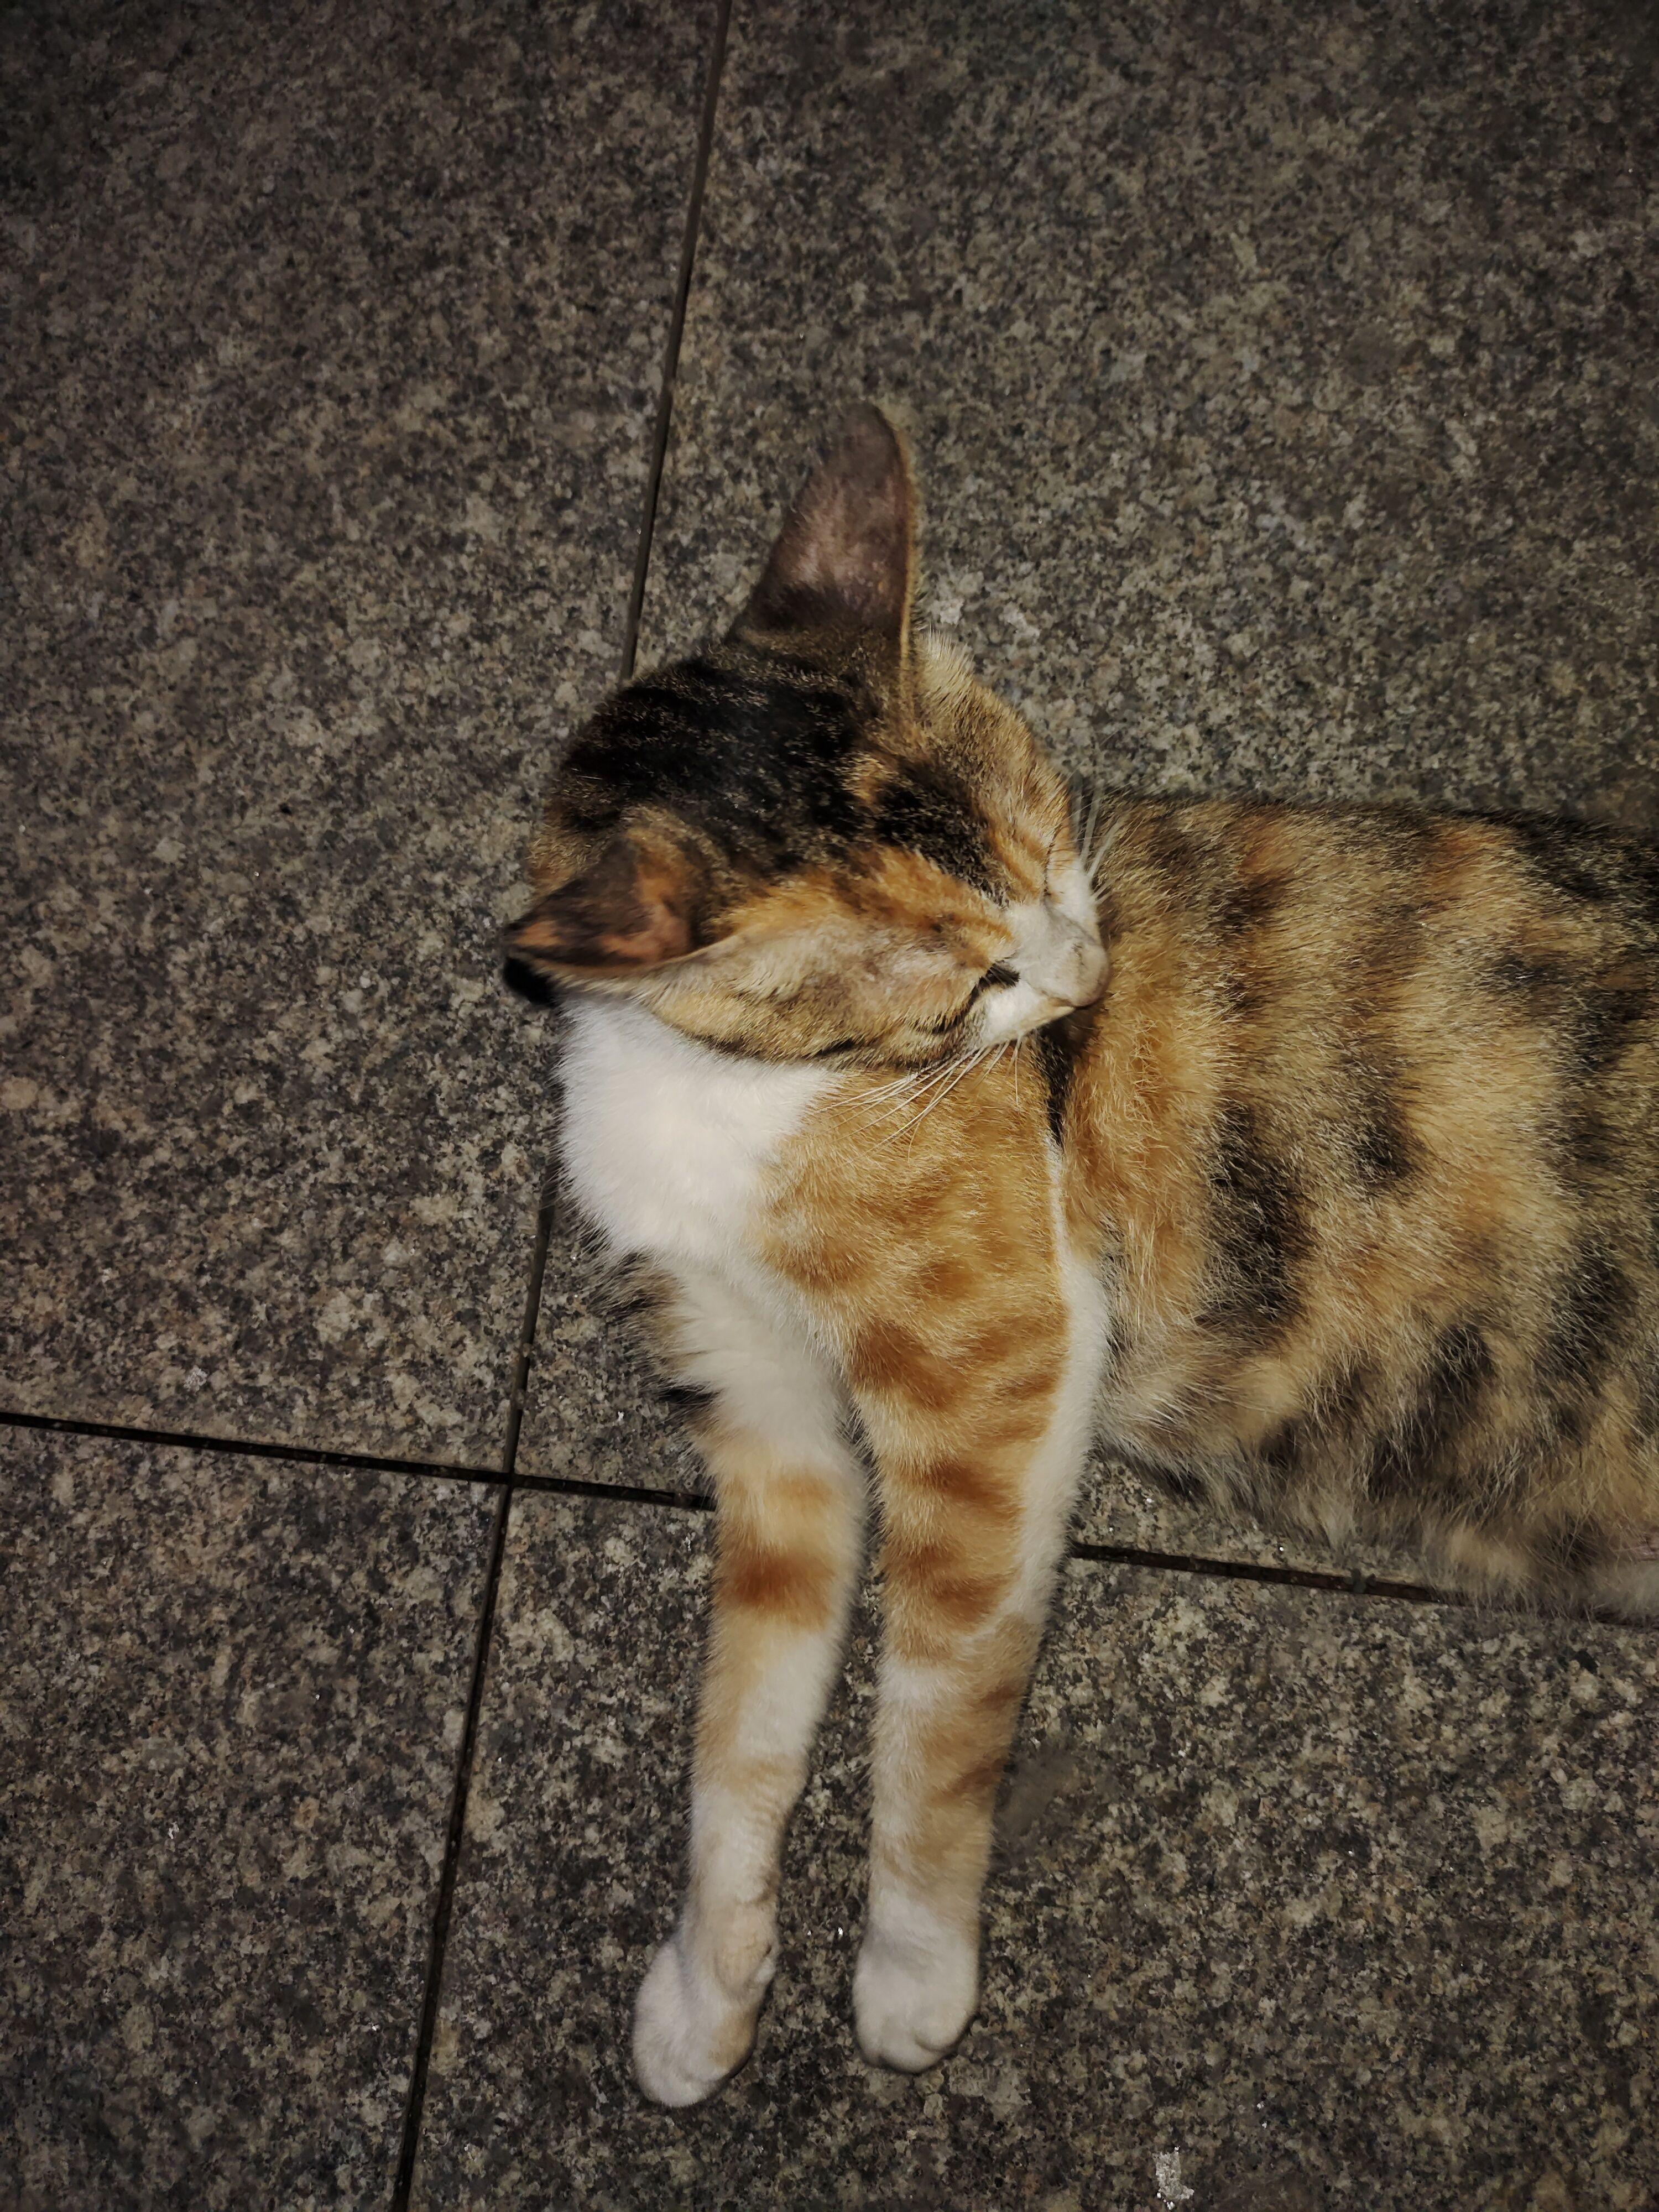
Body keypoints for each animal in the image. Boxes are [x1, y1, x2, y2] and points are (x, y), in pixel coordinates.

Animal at [504, 404, 1659, 2107]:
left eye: (1053, 845)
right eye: (963, 982)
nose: (1088, 968)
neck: (725, 1093)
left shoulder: (992, 1391)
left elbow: (926, 1727)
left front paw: (912, 1976)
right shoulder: (769, 1431)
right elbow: (741, 1733)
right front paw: (707, 1988)